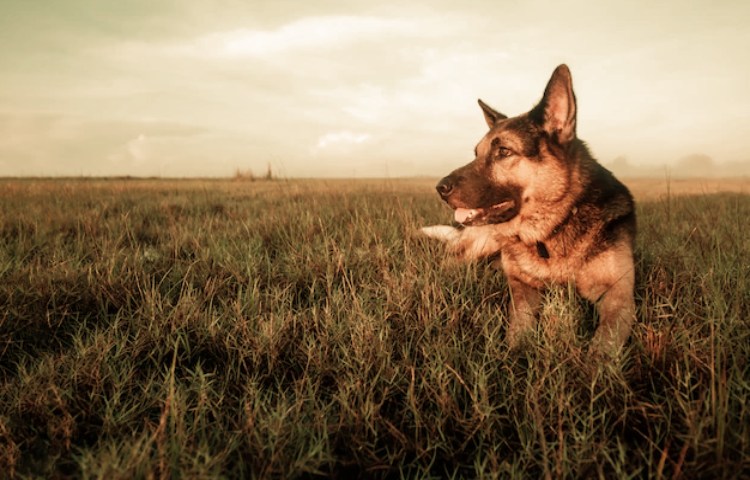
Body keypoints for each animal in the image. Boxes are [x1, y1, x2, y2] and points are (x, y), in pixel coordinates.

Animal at [420, 63, 636, 356]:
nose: (440, 188)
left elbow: (605, 341)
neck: (553, 227)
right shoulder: (523, 287)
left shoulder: (619, 297)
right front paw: (515, 351)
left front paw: (594, 364)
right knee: (450, 260)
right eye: (477, 153)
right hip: (481, 244)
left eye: (503, 151)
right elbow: (521, 322)